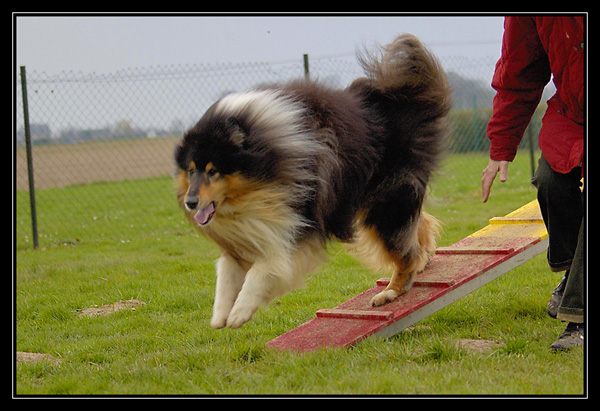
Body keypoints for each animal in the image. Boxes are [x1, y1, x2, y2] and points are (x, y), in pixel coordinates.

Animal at [173, 33, 450, 330]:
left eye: (214, 171)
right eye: (191, 170)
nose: (190, 203)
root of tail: (404, 97)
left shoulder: (302, 220)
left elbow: (266, 267)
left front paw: (239, 312)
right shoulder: (250, 230)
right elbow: (226, 271)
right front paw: (220, 315)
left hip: (385, 202)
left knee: (404, 249)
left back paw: (391, 291)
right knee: (419, 226)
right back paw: (422, 257)